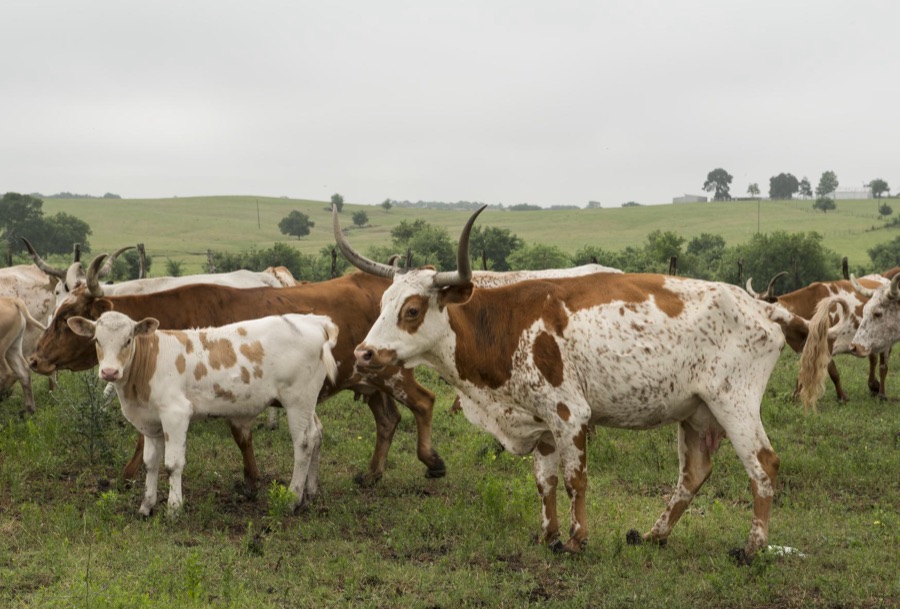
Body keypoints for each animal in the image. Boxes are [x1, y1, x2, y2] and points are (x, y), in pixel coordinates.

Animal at [67, 311, 338, 515]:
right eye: (97, 340)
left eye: (128, 340)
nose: (110, 372)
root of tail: (314, 320)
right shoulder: (150, 422)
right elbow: (150, 463)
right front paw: (146, 505)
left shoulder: (175, 414)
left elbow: (172, 464)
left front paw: (174, 508)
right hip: (307, 402)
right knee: (316, 434)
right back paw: (309, 494)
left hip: (297, 399)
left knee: (303, 443)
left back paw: (292, 499)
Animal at [335, 206, 802, 562]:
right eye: (383, 303)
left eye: (412, 310)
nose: (364, 353)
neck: (503, 323)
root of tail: (759, 307)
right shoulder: (539, 420)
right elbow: (546, 481)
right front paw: (549, 535)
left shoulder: (569, 413)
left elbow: (576, 478)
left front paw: (577, 540)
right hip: (696, 412)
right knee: (694, 473)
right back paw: (654, 535)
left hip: (734, 402)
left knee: (763, 465)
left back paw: (753, 548)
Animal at [746, 273, 888, 401]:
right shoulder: (806, 347)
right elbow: (802, 372)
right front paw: (794, 396)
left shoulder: (827, 345)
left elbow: (833, 373)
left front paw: (842, 397)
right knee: (873, 360)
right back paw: (873, 386)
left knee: (883, 366)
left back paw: (881, 394)